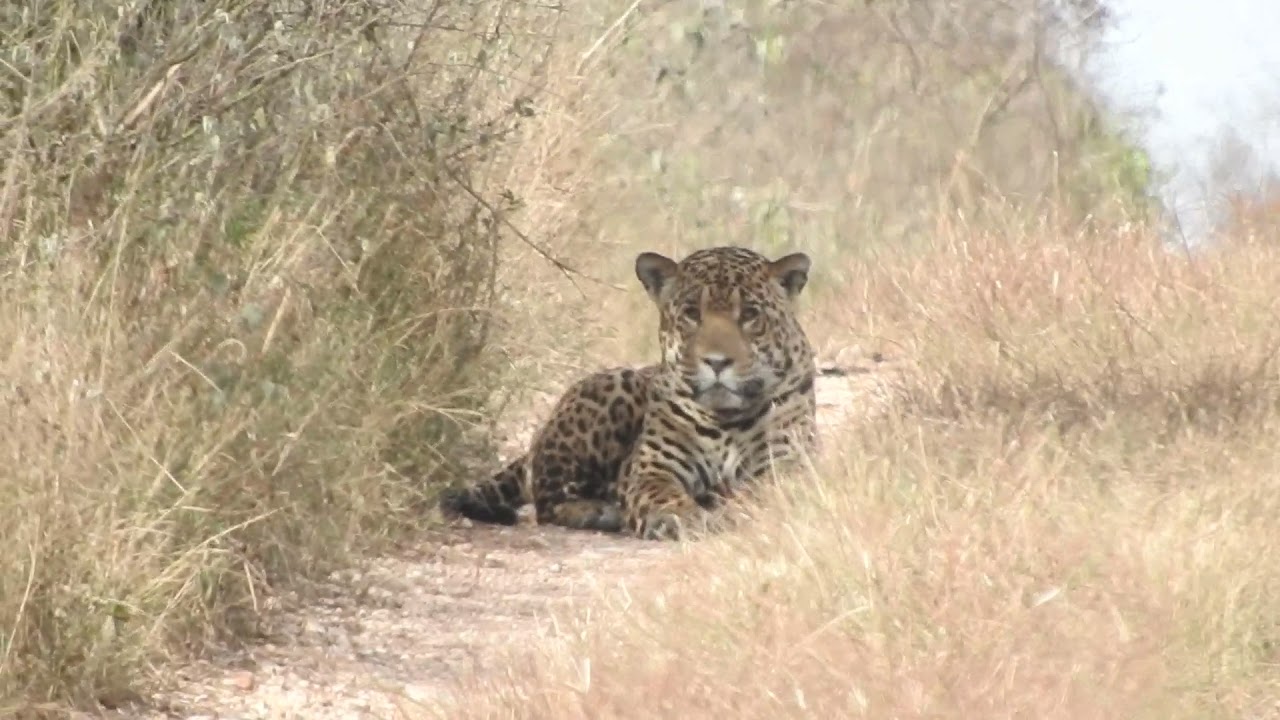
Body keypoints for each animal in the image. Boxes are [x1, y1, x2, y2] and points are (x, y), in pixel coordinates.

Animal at [438, 246, 819, 540]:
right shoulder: (653, 469)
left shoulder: (788, 463)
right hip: (613, 389)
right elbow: (663, 496)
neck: (723, 418)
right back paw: (598, 511)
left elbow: (761, 491)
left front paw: (735, 505)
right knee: (547, 499)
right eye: (691, 313)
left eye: (751, 314)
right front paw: (681, 517)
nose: (717, 361)